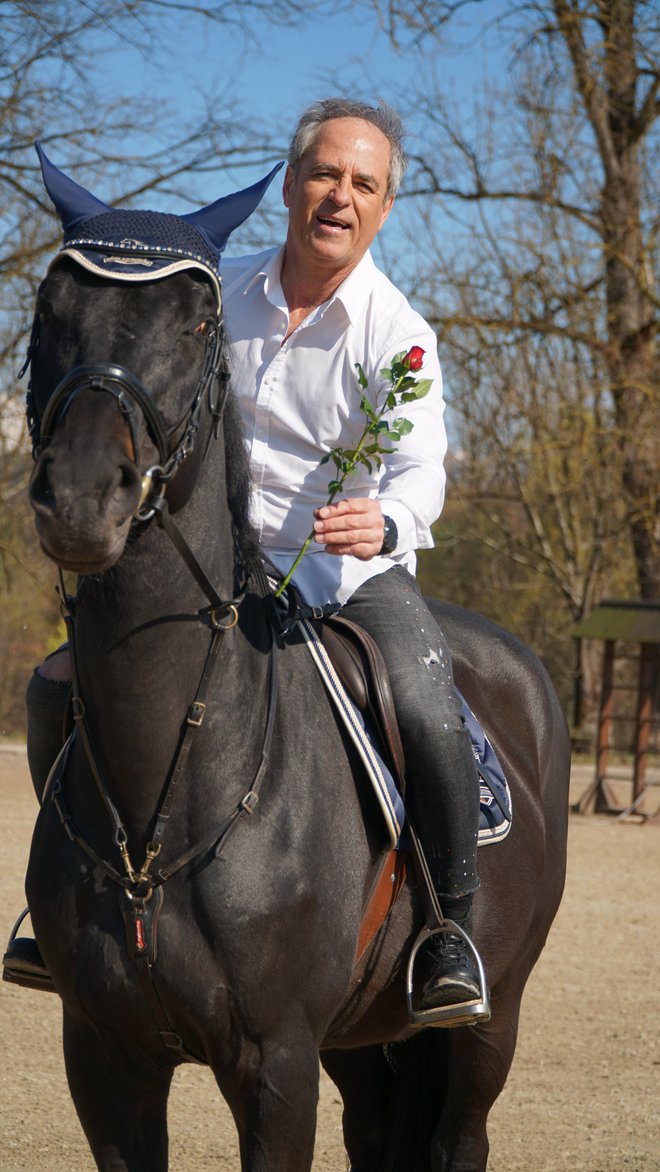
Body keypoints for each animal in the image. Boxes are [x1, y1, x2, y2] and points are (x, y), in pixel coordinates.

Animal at [18, 151, 569, 1167]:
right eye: (48, 307)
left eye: (199, 325)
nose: (80, 498)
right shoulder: (106, 1063)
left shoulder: (276, 1065)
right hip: (358, 1043)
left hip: (488, 1027)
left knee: (459, 1135)